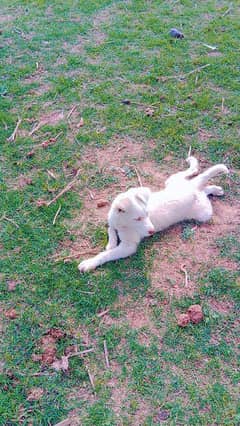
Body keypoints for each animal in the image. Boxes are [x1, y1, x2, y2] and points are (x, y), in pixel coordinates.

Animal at [78, 157, 229, 272]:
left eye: (147, 214)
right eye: (137, 218)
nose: (152, 231)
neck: (123, 224)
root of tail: (193, 187)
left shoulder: (128, 247)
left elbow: (107, 254)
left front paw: (90, 263)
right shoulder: (111, 221)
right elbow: (110, 229)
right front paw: (111, 243)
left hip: (204, 213)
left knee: (202, 185)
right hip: (172, 181)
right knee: (197, 180)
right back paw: (210, 182)